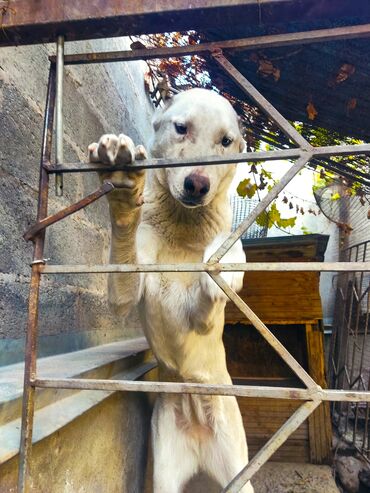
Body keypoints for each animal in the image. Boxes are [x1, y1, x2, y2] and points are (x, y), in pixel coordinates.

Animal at [88, 88, 254, 492]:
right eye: (181, 128)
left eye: (226, 141)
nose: (198, 184)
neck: (182, 223)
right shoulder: (124, 288)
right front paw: (122, 189)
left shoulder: (204, 320)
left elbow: (216, 272)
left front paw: (224, 262)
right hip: (164, 471)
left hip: (240, 472)